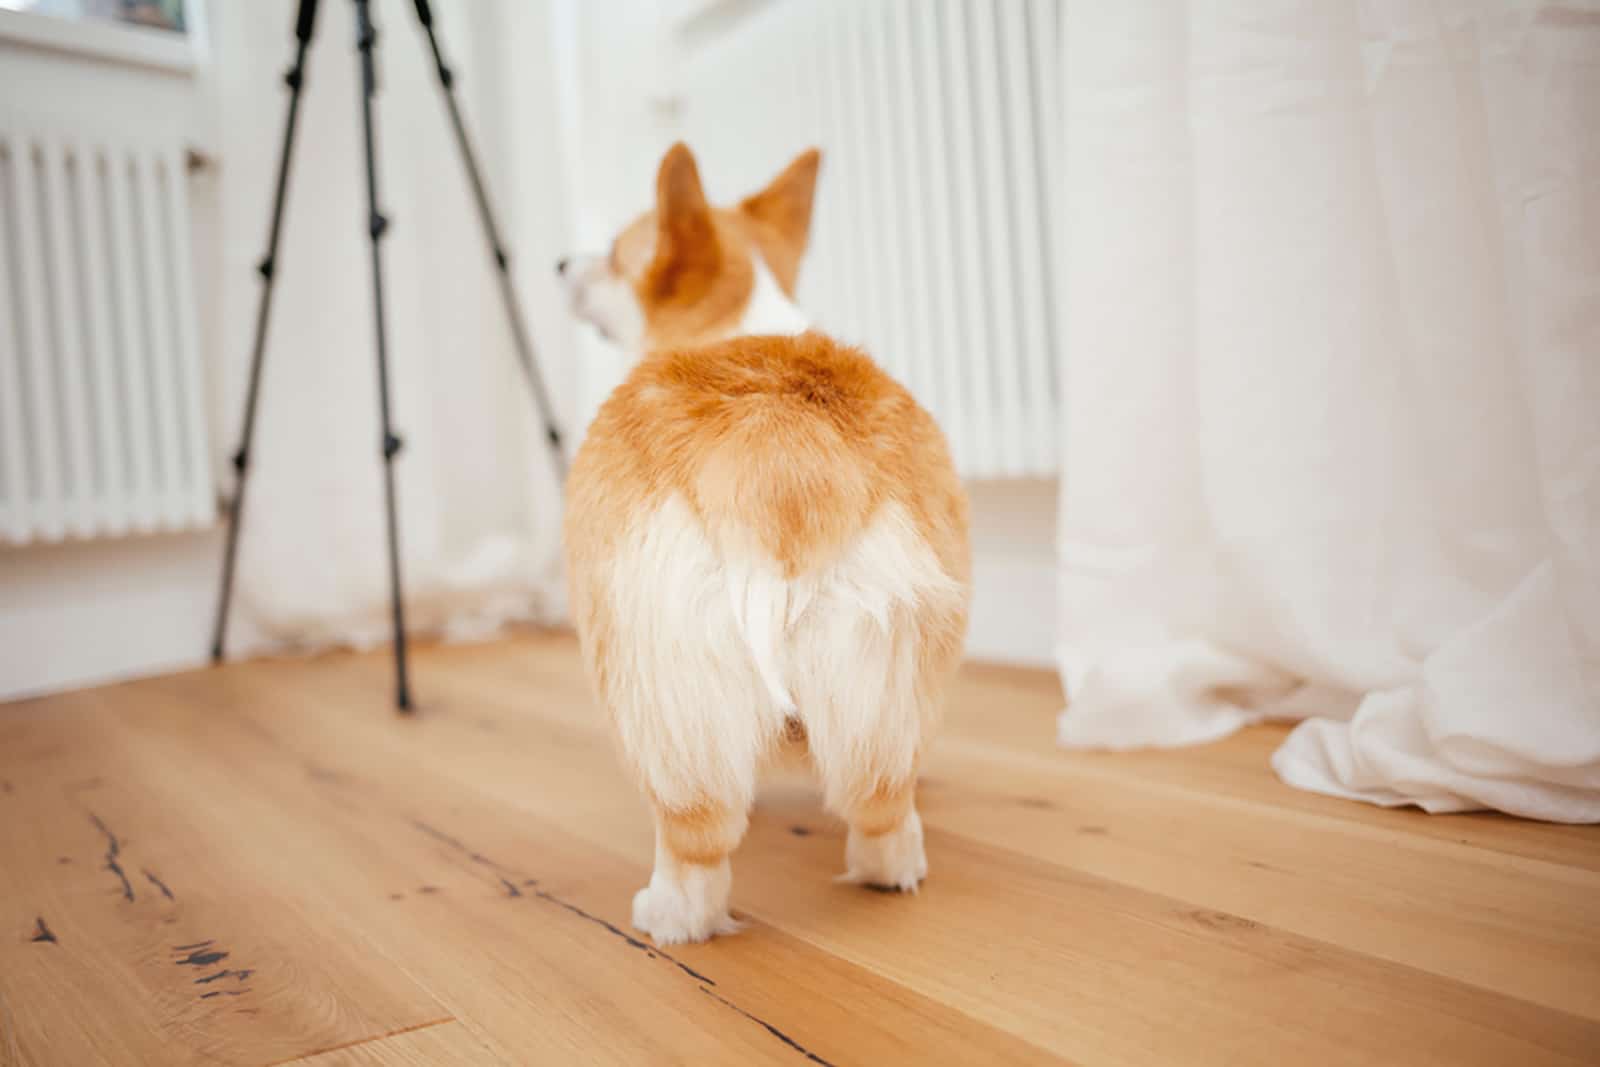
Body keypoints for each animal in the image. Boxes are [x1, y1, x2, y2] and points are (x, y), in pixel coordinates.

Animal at [556, 143, 966, 940]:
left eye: (617, 255)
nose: (560, 261)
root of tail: (779, 449)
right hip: (897, 667)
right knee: (883, 800)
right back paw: (892, 869)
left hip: (660, 677)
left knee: (696, 834)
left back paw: (668, 914)